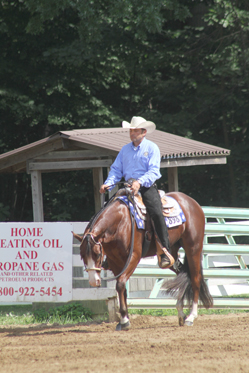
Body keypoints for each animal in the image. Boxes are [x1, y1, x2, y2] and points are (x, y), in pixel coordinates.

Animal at [73, 192, 213, 328]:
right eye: (82, 256)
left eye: (97, 254)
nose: (93, 281)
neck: (120, 222)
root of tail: (193, 203)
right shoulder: (116, 262)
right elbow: (122, 288)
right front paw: (123, 319)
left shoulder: (133, 257)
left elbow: (120, 284)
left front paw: (124, 320)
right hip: (171, 255)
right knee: (183, 273)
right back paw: (181, 313)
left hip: (193, 248)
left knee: (195, 278)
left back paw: (191, 317)